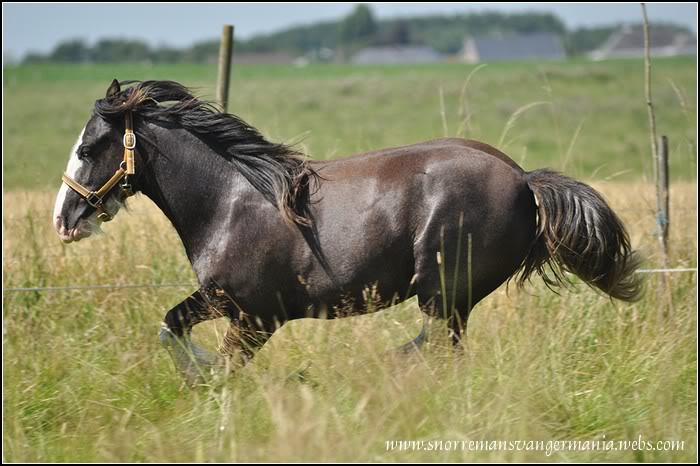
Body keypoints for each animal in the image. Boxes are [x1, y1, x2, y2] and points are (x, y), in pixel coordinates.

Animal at [52, 81, 644, 386]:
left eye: (87, 147)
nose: (64, 219)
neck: (230, 202)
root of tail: (523, 180)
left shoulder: (255, 317)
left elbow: (213, 359)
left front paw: (208, 382)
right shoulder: (221, 300)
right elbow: (171, 326)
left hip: (443, 292)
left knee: (436, 351)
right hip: (448, 300)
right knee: (437, 350)